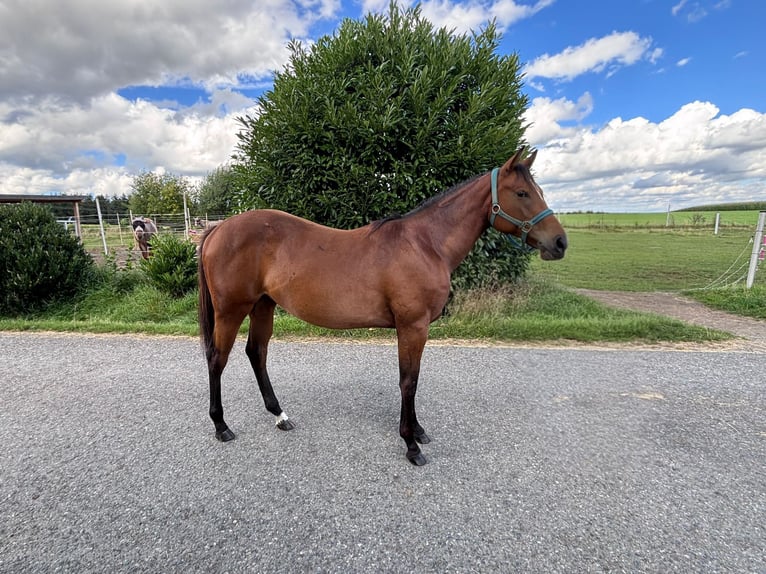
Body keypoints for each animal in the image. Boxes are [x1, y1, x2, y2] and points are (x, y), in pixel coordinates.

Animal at [197, 148, 567, 465]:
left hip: (263, 305)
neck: (425, 245)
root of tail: (218, 228)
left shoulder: (415, 328)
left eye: (538, 190)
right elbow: (409, 382)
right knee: (217, 359)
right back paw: (221, 426)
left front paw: (418, 431)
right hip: (232, 310)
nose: (560, 242)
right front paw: (411, 444)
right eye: (522, 193)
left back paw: (279, 415)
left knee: (256, 353)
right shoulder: (413, 326)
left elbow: (412, 379)